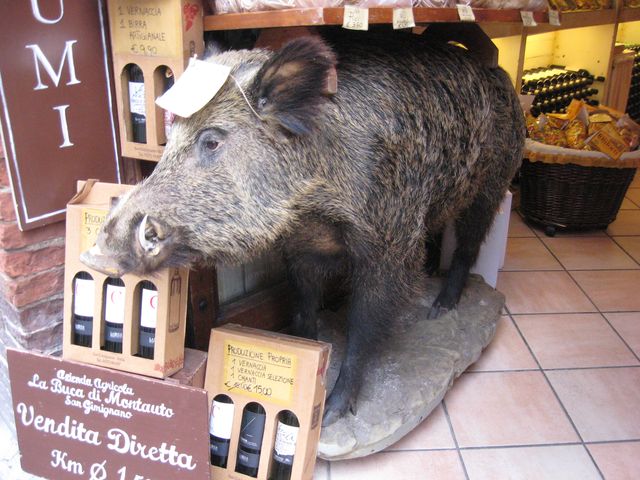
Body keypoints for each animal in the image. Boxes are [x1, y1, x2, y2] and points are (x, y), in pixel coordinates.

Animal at [82, 29, 525, 425]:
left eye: (211, 141)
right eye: (170, 137)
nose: (96, 253)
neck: (312, 209)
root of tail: (499, 74)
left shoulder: (388, 242)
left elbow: (363, 324)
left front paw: (331, 415)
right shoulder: (300, 251)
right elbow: (303, 307)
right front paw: (309, 358)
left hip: (493, 181)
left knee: (469, 243)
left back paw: (441, 308)